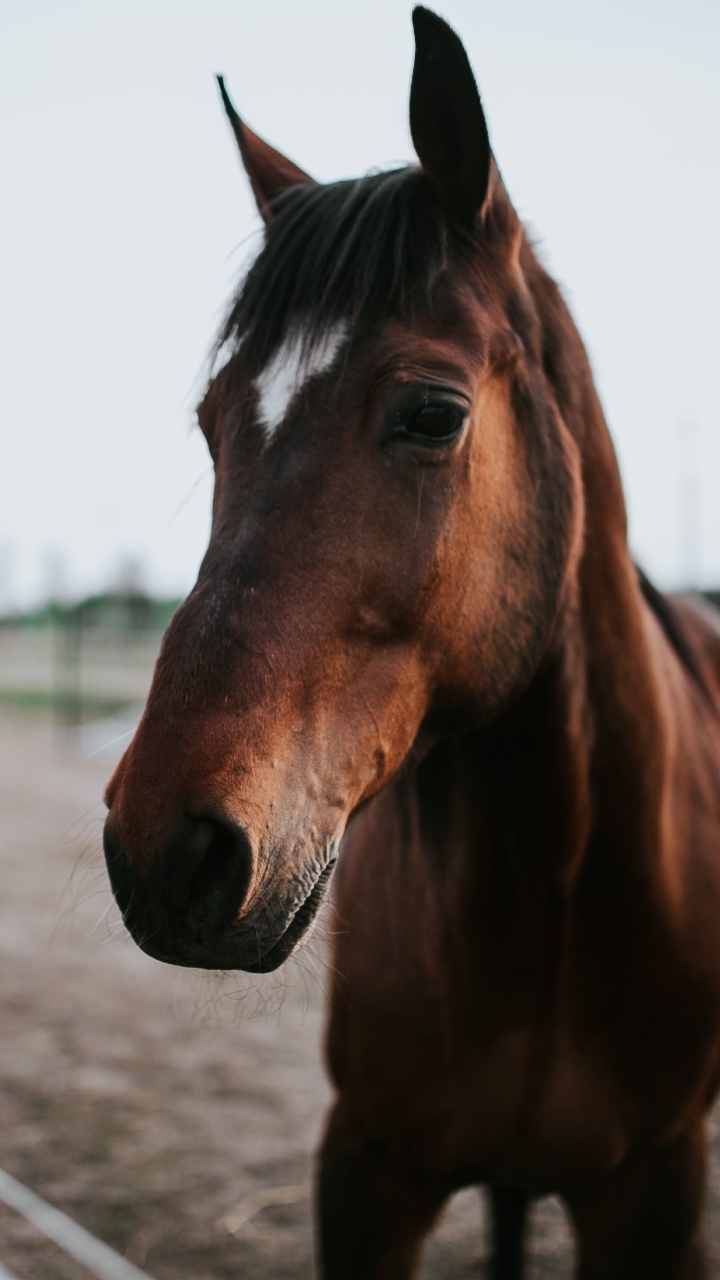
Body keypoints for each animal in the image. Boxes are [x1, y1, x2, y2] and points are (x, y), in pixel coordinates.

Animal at [102, 12, 720, 1280]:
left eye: (433, 411)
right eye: (211, 422)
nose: (164, 849)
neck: (555, 872)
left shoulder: (659, 1185)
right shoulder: (368, 1169)